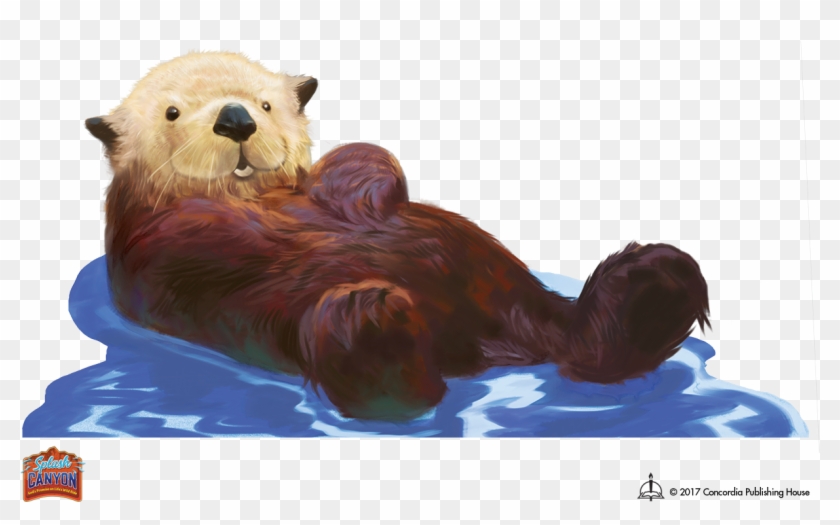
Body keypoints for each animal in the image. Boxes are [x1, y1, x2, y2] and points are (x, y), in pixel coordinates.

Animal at [85, 51, 710, 421]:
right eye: (172, 113)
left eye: (265, 103)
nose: (236, 119)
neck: (254, 196)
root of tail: (496, 351)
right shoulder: (150, 241)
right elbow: (196, 244)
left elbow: (365, 162)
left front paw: (355, 180)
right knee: (394, 388)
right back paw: (373, 315)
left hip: (525, 303)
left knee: (591, 340)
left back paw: (655, 279)